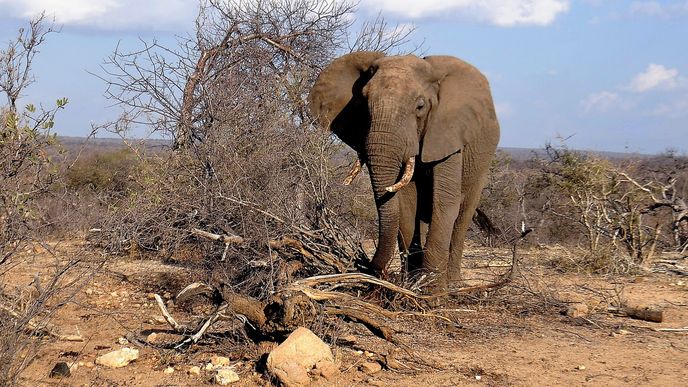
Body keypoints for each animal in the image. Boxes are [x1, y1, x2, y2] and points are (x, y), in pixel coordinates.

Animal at [310, 52, 500, 294]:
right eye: (363, 103)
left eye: (420, 106)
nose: (364, 265)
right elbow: (407, 202)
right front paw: (410, 284)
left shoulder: (448, 133)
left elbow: (445, 201)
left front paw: (432, 291)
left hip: (481, 167)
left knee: (463, 216)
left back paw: (454, 284)